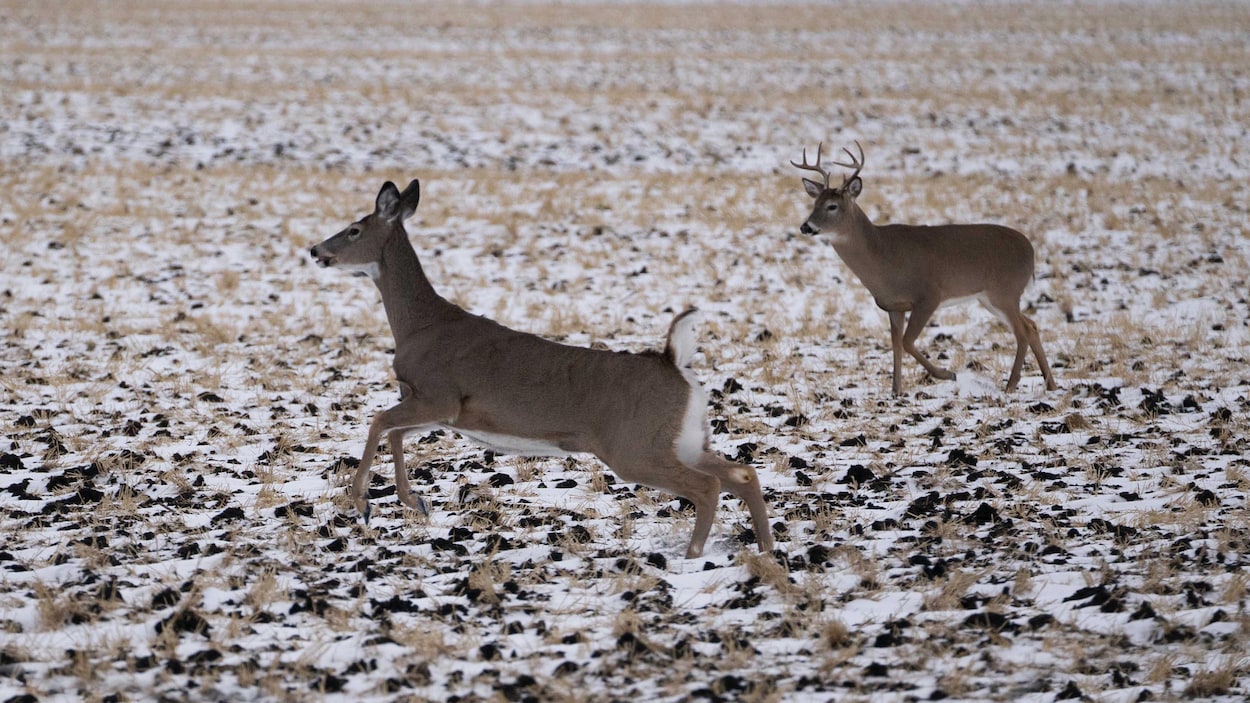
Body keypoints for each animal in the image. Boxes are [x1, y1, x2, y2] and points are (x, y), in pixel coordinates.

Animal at [309, 179, 773, 559]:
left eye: (354, 229)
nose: (315, 250)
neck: (420, 326)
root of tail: (674, 362)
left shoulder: (440, 396)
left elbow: (378, 422)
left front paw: (363, 502)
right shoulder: (437, 408)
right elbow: (395, 432)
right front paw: (415, 501)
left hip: (634, 446)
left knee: (708, 485)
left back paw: (693, 556)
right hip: (682, 438)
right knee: (742, 472)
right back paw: (767, 549)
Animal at [792, 141, 1058, 395]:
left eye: (832, 206)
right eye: (814, 202)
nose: (806, 226)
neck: (882, 256)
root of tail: (1030, 250)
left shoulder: (929, 295)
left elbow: (907, 342)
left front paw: (947, 374)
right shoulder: (893, 305)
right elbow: (896, 344)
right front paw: (896, 391)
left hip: (1005, 291)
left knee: (1022, 331)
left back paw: (1011, 386)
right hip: (991, 298)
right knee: (1031, 326)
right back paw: (1050, 384)